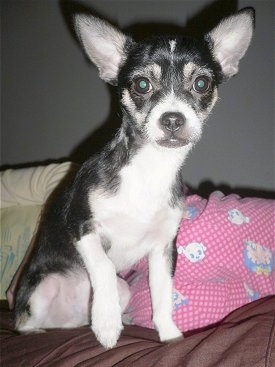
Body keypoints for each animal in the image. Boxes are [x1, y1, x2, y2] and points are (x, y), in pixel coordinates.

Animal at [14, 7, 256, 350]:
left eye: (201, 83)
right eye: (142, 84)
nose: (172, 118)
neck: (150, 167)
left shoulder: (163, 250)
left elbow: (162, 297)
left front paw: (170, 336)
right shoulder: (81, 226)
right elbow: (102, 265)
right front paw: (107, 324)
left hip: (123, 289)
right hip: (41, 289)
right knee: (24, 322)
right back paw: (40, 331)